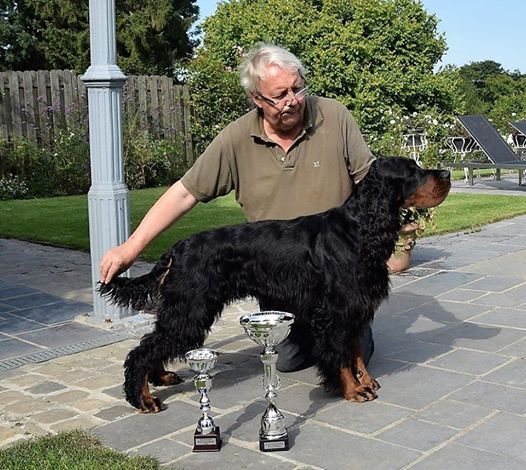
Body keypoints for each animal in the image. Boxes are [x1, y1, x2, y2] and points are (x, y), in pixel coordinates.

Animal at [101, 157, 452, 412]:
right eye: (412, 171)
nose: (447, 173)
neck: (358, 229)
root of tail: (177, 248)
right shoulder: (334, 312)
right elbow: (339, 354)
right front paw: (353, 390)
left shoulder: (354, 307)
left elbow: (356, 352)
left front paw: (365, 381)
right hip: (191, 308)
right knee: (143, 350)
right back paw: (143, 398)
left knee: (154, 341)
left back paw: (159, 376)